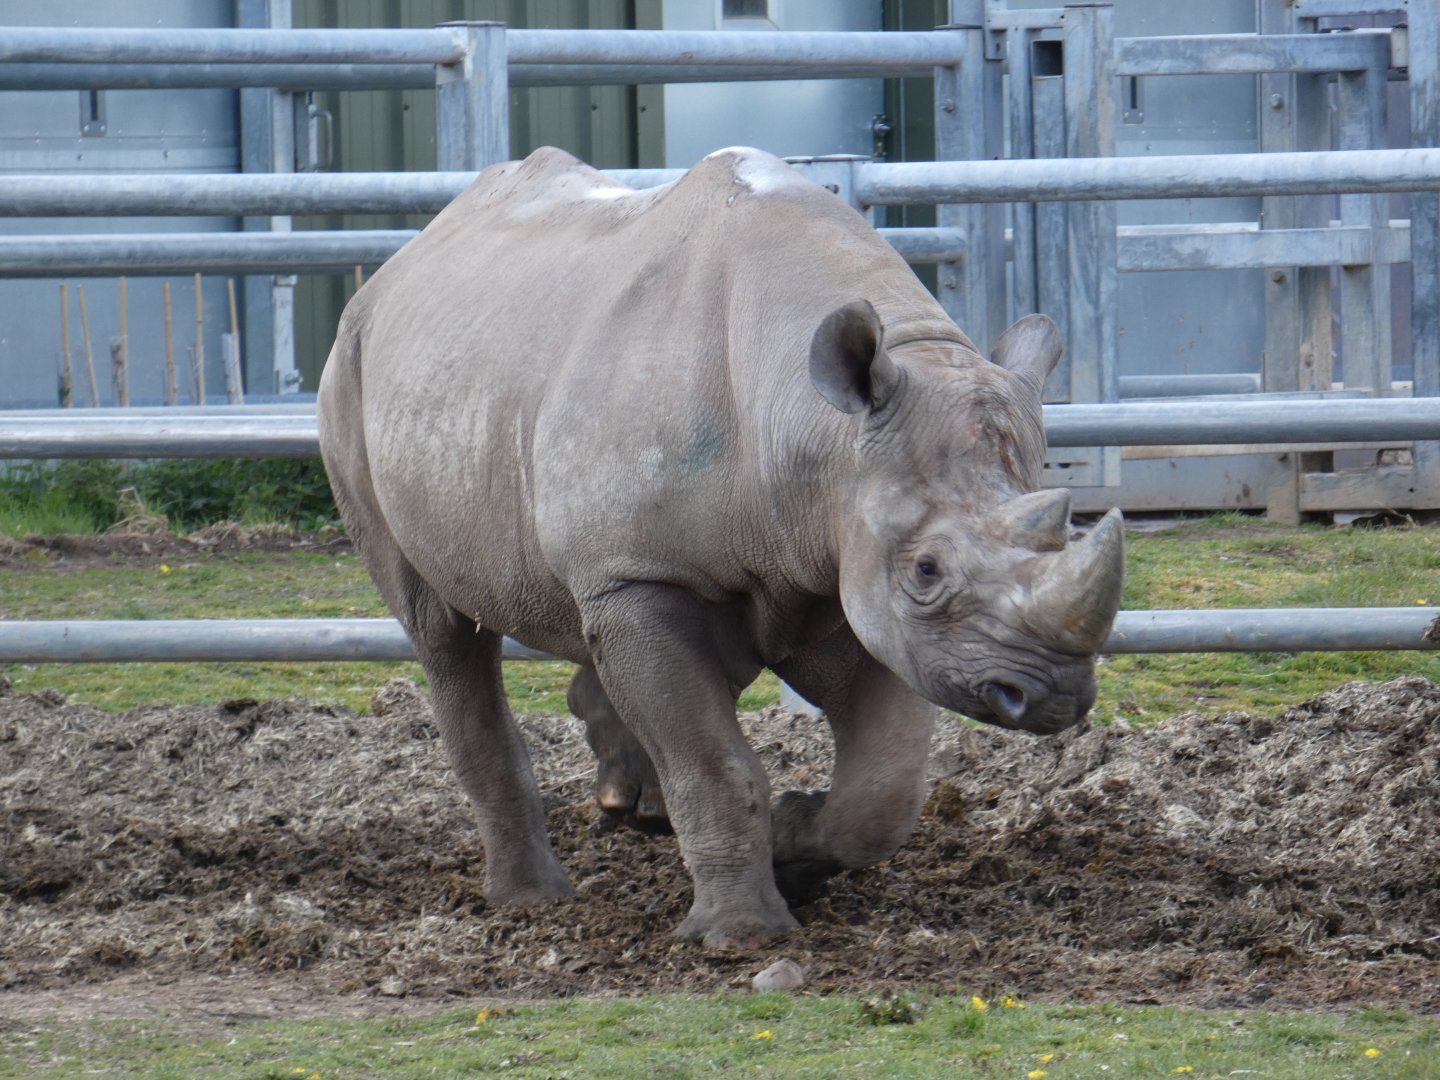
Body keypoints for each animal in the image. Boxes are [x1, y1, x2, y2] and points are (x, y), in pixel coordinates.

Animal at [317, 146, 1124, 949]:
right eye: (926, 570)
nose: (1053, 694)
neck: (820, 430)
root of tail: (403, 260)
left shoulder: (843, 572)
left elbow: (885, 786)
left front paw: (794, 846)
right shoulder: (647, 577)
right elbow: (714, 762)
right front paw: (740, 936)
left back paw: (632, 810)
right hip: (350, 377)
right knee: (442, 630)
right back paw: (531, 901)